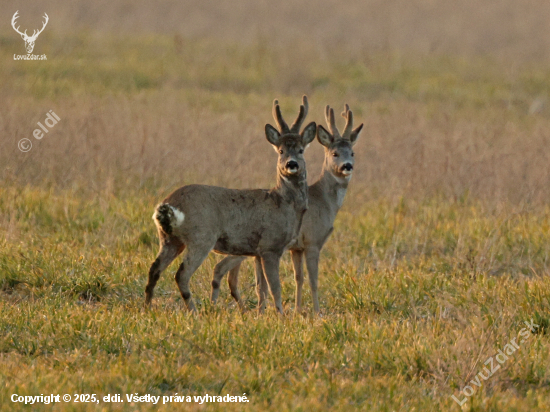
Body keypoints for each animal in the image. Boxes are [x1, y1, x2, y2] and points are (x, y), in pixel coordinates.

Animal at [146, 96, 320, 314]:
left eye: (300, 149)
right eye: (281, 151)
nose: (292, 164)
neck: (285, 204)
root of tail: (169, 205)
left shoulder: (257, 251)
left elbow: (261, 287)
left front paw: (261, 314)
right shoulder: (270, 245)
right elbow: (275, 287)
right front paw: (281, 315)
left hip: (169, 239)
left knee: (154, 269)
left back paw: (146, 308)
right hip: (201, 236)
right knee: (181, 275)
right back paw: (194, 312)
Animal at [213, 103, 364, 312]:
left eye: (352, 153)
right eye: (334, 153)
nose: (347, 166)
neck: (324, 201)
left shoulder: (296, 248)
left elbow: (298, 278)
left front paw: (298, 311)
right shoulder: (313, 241)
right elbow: (313, 280)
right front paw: (317, 313)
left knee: (233, 276)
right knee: (222, 270)